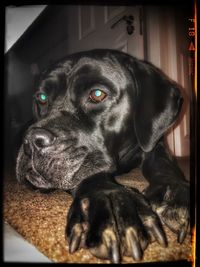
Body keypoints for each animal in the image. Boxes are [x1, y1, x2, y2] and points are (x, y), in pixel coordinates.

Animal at [16, 49, 190, 264]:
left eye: (97, 94)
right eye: (41, 97)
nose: (31, 140)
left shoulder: (154, 144)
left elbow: (164, 164)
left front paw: (172, 192)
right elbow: (91, 174)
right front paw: (109, 201)